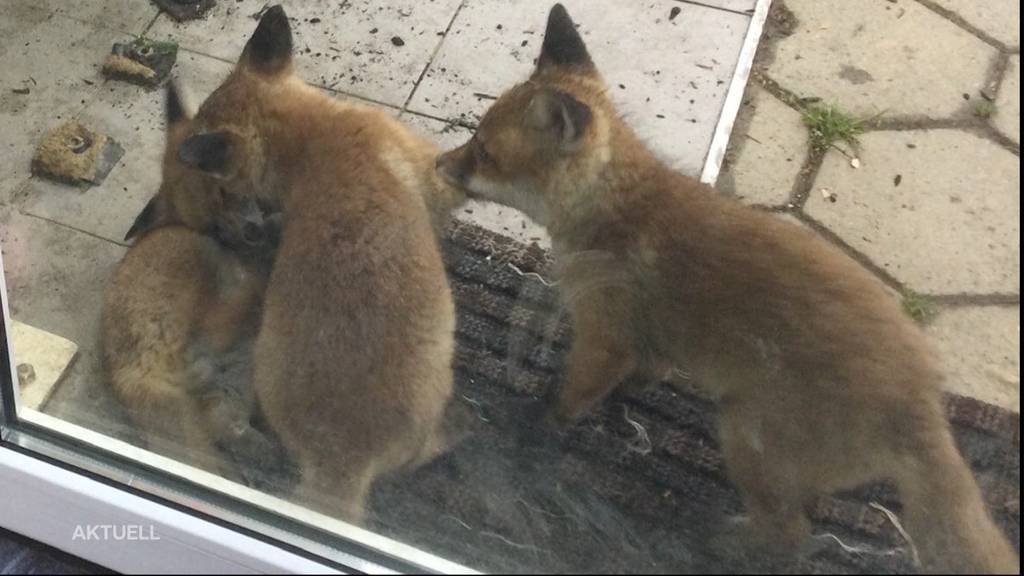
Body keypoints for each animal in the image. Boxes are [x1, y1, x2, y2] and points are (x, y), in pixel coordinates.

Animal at [100, 83, 288, 483]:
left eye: (228, 192)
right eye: (221, 202)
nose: (250, 231)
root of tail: (129, 373)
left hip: (235, 377)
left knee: (223, 422)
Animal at [436, 3, 1019, 569]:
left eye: (484, 152)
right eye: (475, 138)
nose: (440, 163)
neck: (614, 214)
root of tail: (925, 403)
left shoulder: (604, 337)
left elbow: (567, 398)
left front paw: (534, 426)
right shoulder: (647, 343)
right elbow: (643, 373)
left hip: (744, 435)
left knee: (791, 535)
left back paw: (716, 542)